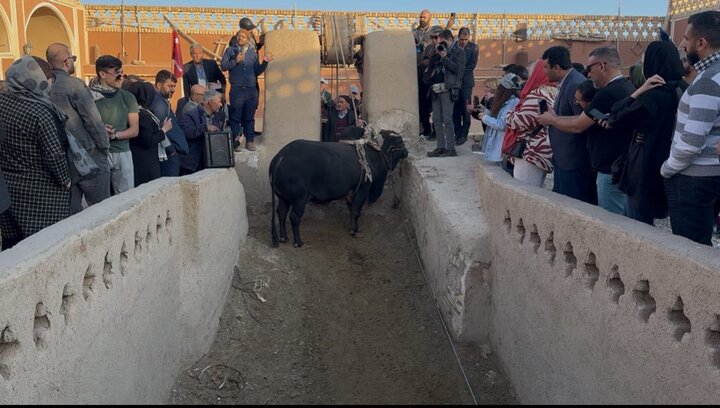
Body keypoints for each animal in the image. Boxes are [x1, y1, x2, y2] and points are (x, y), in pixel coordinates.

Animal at [270, 132, 408, 247]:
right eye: (400, 142)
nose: (406, 152)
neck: (374, 155)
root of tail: (281, 156)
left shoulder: (351, 193)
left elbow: (352, 211)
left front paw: (354, 227)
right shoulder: (363, 190)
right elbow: (356, 211)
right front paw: (354, 231)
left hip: (283, 198)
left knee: (281, 213)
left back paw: (283, 237)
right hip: (299, 199)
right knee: (294, 217)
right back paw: (298, 242)